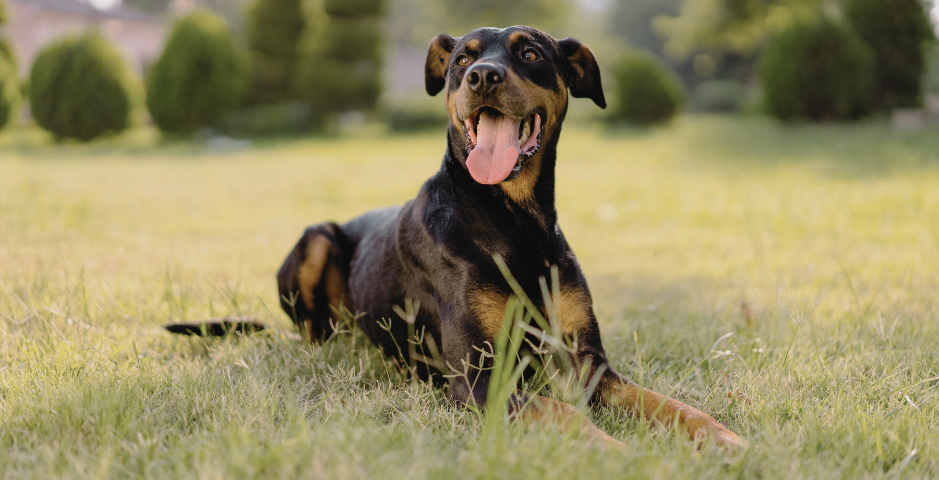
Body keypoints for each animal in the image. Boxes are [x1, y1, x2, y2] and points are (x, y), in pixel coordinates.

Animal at [167, 25, 740, 450]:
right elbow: (563, 413)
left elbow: (670, 404)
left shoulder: (588, 362)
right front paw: (615, 451)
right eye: (462, 60)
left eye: (530, 53)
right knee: (314, 334)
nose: (483, 75)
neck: (513, 222)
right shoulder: (479, 379)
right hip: (317, 239)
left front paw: (724, 438)